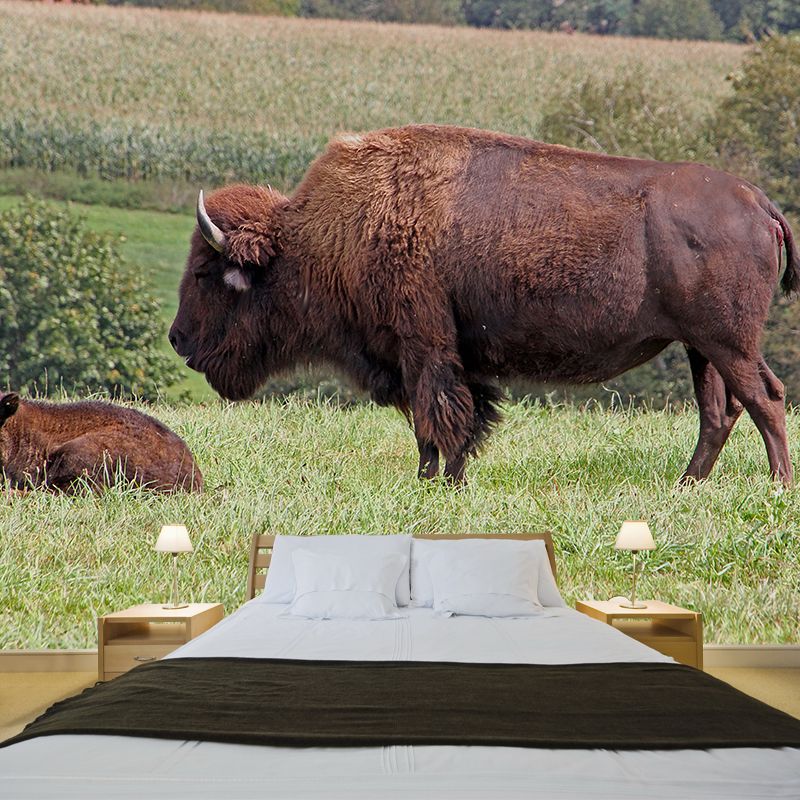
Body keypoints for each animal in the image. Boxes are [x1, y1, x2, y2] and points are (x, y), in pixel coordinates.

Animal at [170, 124, 796, 485]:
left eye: (205, 273)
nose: (177, 339)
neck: (330, 232)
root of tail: (759, 201)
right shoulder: (445, 356)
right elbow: (462, 415)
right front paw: (444, 478)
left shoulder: (422, 345)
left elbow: (438, 414)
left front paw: (433, 481)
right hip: (702, 347)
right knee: (720, 411)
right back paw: (687, 486)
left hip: (727, 341)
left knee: (764, 398)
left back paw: (777, 486)